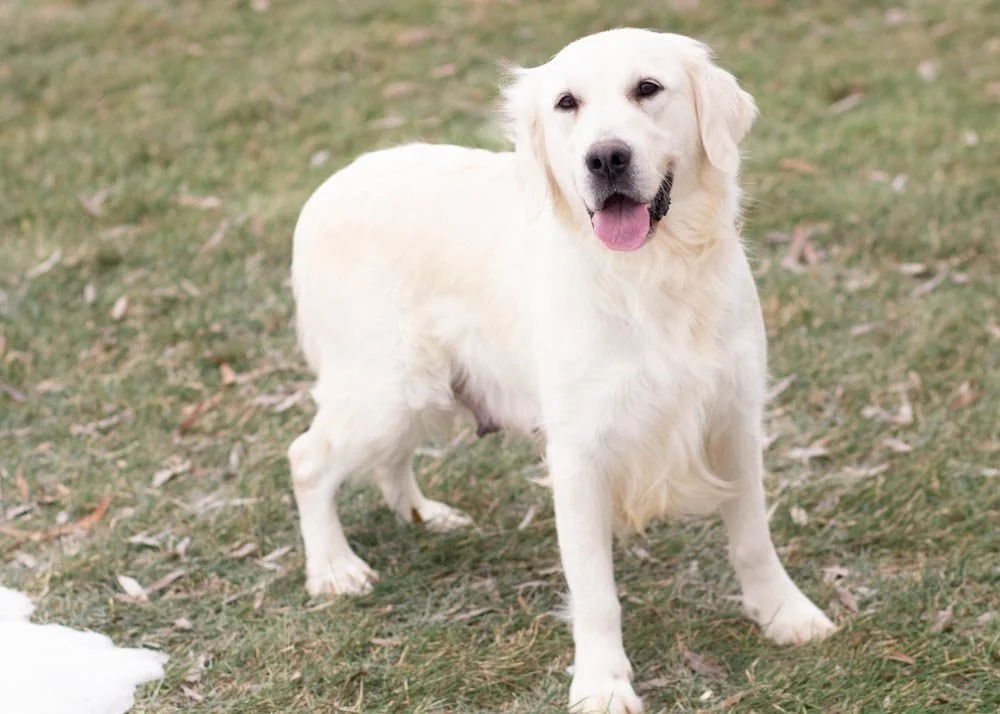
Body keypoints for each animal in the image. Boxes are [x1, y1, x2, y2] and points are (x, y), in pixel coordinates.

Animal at [288, 28, 836, 714]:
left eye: (648, 88)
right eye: (566, 103)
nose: (606, 159)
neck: (648, 275)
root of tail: (324, 190)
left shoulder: (732, 417)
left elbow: (753, 537)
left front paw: (784, 612)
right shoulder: (579, 452)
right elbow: (595, 591)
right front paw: (602, 683)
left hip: (420, 395)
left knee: (386, 461)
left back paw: (424, 514)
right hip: (387, 390)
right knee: (307, 459)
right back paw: (334, 568)